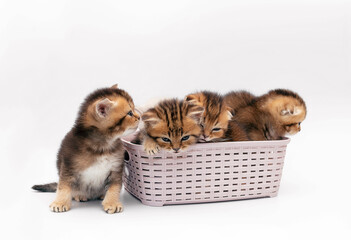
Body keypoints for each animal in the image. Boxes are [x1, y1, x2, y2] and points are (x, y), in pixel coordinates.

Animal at [31, 85, 139, 214]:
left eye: (133, 110)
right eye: (129, 113)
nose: (139, 117)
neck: (102, 146)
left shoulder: (116, 168)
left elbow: (115, 187)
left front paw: (112, 202)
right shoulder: (69, 164)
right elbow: (63, 186)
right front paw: (60, 202)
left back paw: (102, 195)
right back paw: (80, 195)